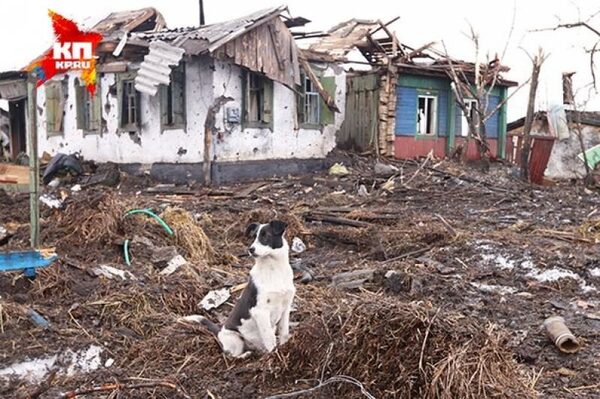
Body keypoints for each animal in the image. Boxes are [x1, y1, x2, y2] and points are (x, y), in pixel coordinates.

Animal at [183, 220, 296, 358]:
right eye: (253, 237)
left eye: (266, 235)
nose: (251, 249)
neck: (274, 270)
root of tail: (220, 331)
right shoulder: (260, 311)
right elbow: (269, 337)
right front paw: (274, 355)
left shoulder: (286, 308)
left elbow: (284, 332)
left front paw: (285, 349)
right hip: (235, 339)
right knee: (230, 355)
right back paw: (245, 355)